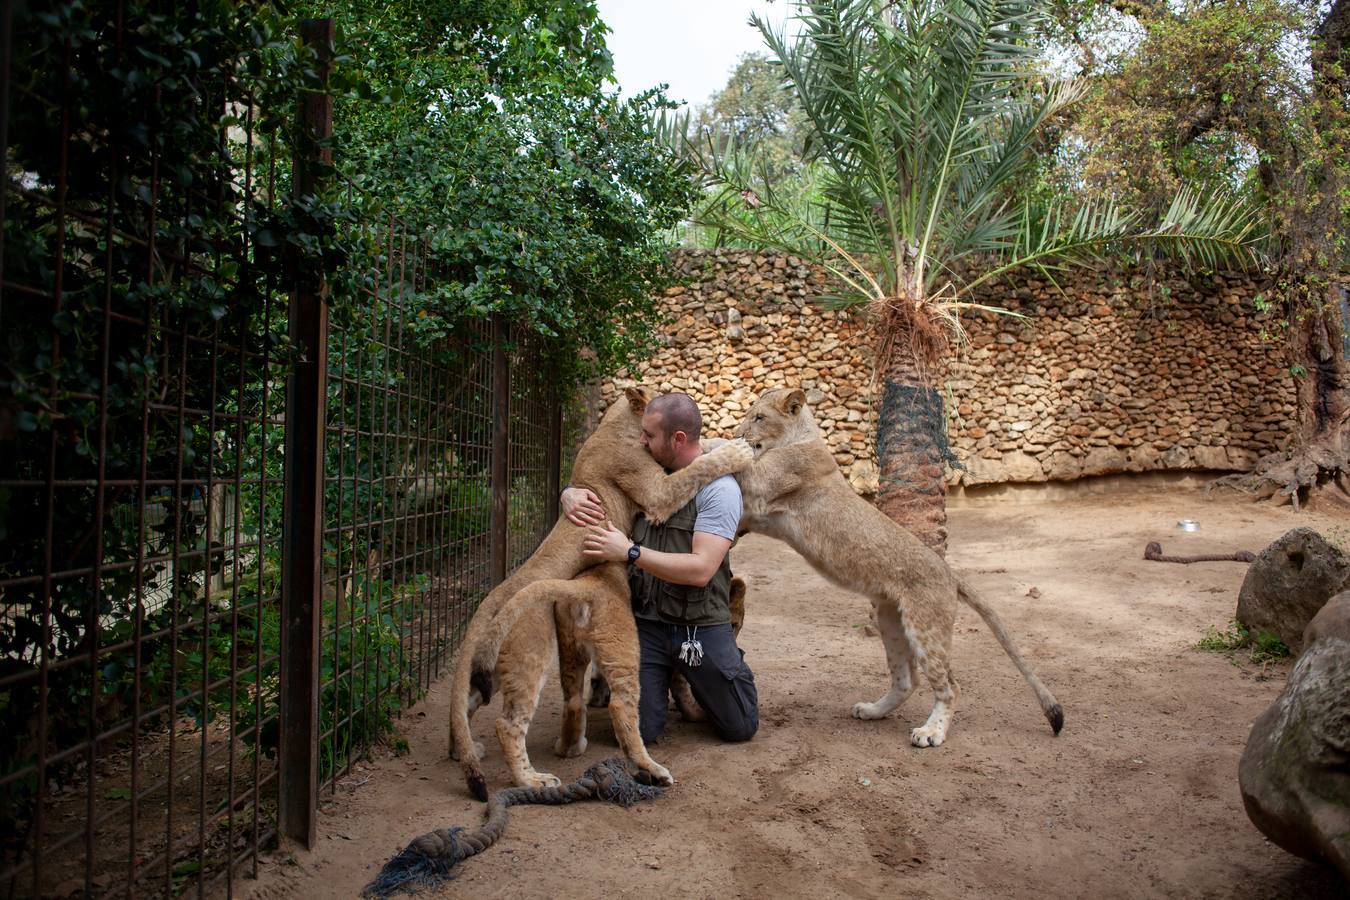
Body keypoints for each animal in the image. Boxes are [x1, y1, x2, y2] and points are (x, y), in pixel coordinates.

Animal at [448, 391, 756, 798]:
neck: (613, 426)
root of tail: (497, 594)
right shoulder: (656, 491)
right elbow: (696, 469)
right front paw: (736, 450)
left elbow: (698, 458)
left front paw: (719, 441)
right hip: (531, 656)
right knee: (510, 723)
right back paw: (535, 779)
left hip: (495, 665)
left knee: (468, 701)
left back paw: (463, 750)